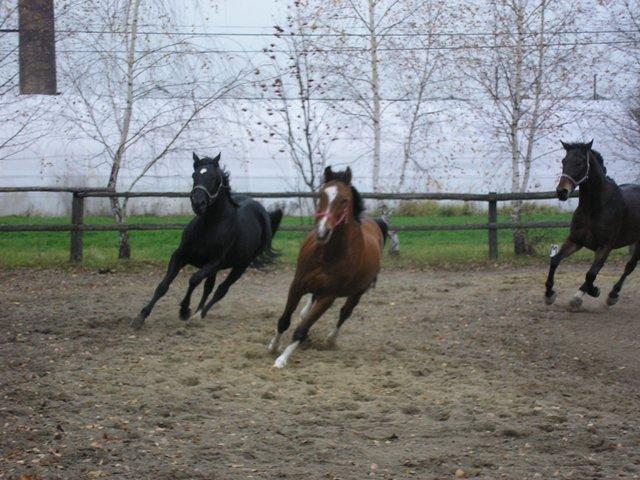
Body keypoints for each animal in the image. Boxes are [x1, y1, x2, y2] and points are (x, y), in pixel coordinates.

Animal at [131, 154, 282, 330]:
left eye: (213, 177)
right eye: (194, 175)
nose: (198, 204)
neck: (209, 226)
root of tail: (264, 214)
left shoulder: (213, 262)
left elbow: (193, 280)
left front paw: (184, 310)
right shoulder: (180, 255)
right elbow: (163, 285)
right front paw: (141, 317)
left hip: (241, 266)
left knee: (221, 290)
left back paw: (199, 314)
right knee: (209, 287)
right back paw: (197, 313)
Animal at [268, 167, 388, 370]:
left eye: (344, 199)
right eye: (321, 194)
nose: (322, 232)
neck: (327, 255)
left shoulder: (328, 296)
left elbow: (301, 330)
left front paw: (282, 360)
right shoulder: (297, 285)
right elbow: (284, 320)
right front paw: (273, 347)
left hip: (357, 292)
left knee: (345, 313)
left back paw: (331, 340)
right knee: (307, 308)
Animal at [544, 141, 640, 310]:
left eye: (581, 162)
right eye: (564, 161)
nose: (562, 192)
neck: (594, 208)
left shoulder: (605, 246)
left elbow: (591, 274)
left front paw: (595, 291)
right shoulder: (575, 241)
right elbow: (555, 261)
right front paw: (549, 295)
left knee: (629, 266)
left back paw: (612, 296)